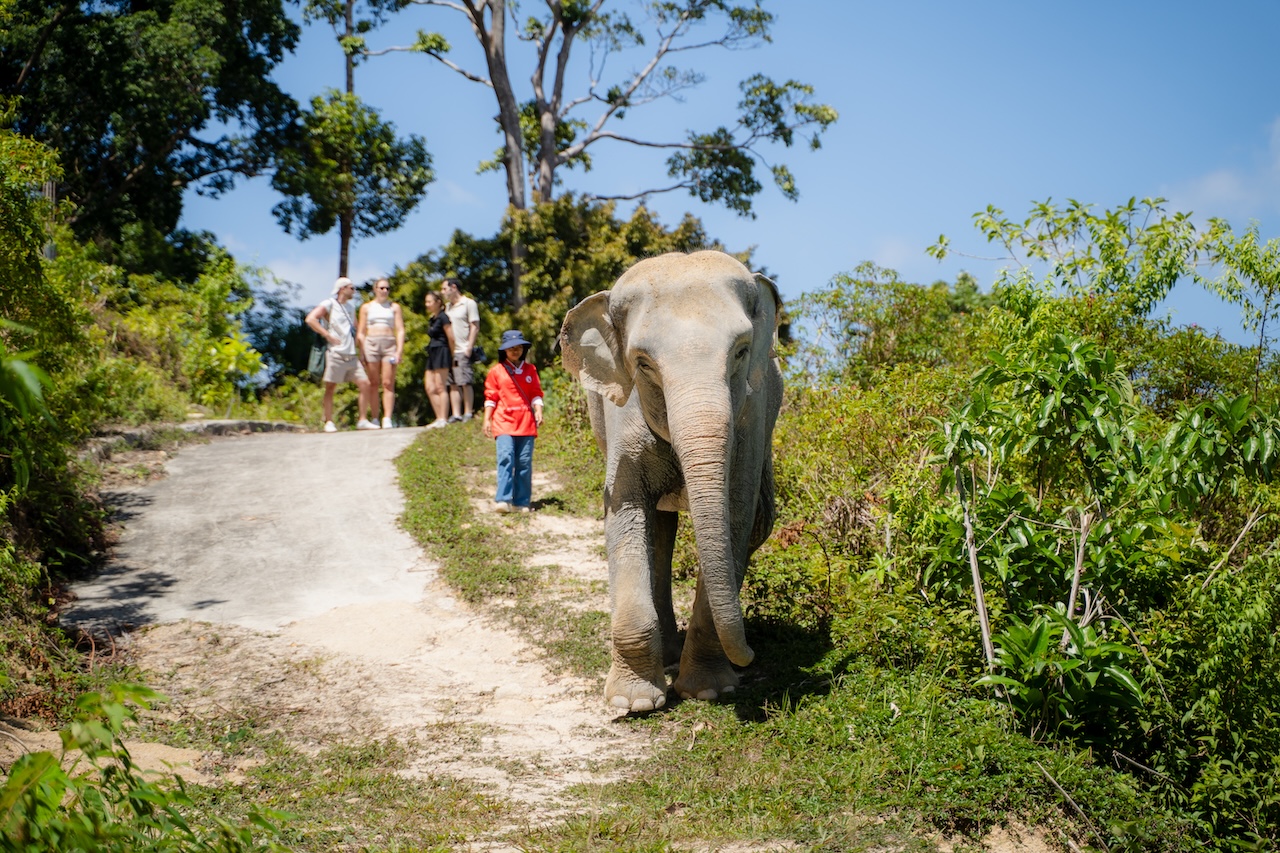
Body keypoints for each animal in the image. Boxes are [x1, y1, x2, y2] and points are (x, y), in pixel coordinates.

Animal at [559, 250, 783, 712]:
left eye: (741, 351)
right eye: (643, 364)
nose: (752, 654)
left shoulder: (751, 420)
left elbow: (736, 515)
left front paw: (708, 691)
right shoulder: (622, 416)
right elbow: (625, 512)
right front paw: (633, 703)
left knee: (756, 524)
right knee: (659, 527)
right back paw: (664, 657)